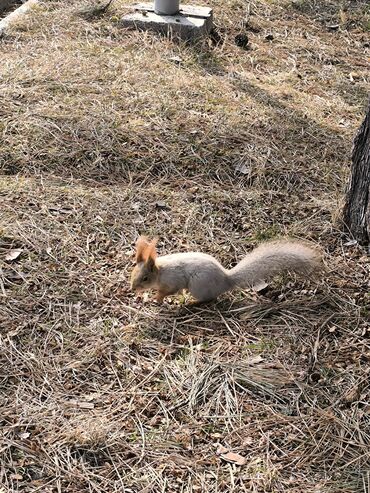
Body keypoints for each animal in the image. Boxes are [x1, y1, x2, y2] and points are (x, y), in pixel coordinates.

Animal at [129, 235, 320, 304]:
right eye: (132, 273)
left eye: (145, 278)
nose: (132, 288)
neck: (160, 271)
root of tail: (226, 280)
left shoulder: (172, 281)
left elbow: (169, 291)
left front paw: (157, 297)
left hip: (198, 286)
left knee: (209, 298)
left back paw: (192, 303)